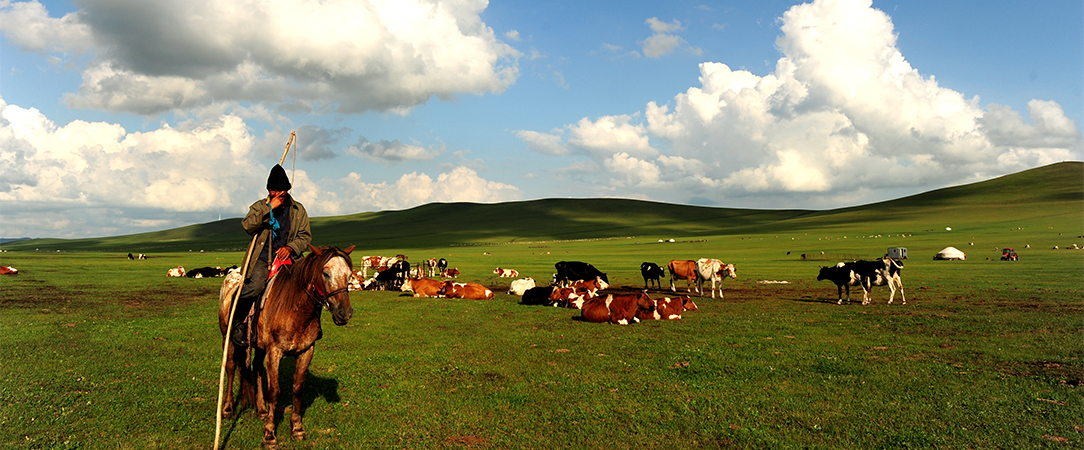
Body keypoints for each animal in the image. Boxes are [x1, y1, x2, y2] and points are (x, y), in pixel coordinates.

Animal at [218, 245, 355, 448]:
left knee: (256, 368)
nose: (344, 313)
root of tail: (233, 273)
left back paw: (261, 409)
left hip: (260, 346)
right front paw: (269, 435)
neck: (296, 308)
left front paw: (297, 429)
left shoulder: (306, 351)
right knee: (230, 367)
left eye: (349, 274)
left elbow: (297, 389)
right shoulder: (275, 352)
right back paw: (227, 409)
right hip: (228, 338)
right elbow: (274, 391)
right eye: (326, 273)